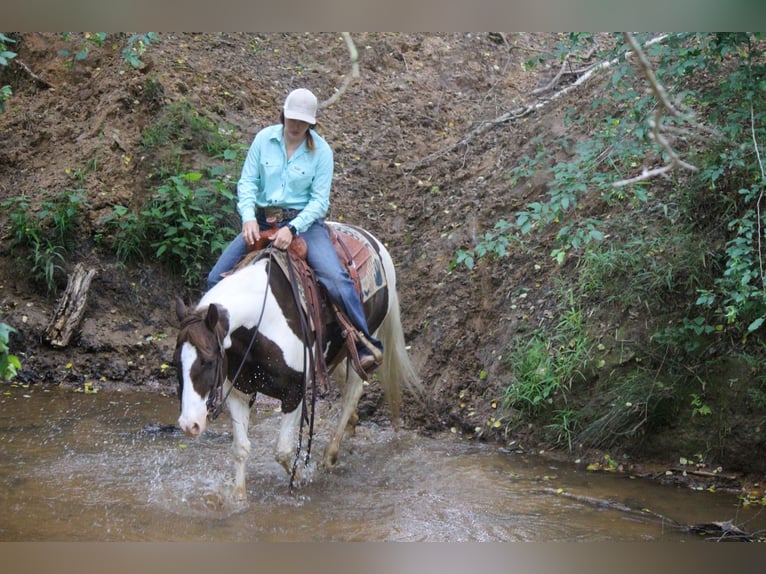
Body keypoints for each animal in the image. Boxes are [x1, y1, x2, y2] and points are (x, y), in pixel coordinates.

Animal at [173, 223, 424, 502]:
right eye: (175, 364)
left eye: (208, 361)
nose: (189, 425)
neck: (260, 323)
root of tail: (374, 241)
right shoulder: (239, 391)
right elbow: (240, 448)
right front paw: (239, 498)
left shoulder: (294, 393)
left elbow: (283, 450)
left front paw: (303, 478)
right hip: (336, 349)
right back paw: (352, 424)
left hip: (370, 335)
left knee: (352, 391)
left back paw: (329, 456)